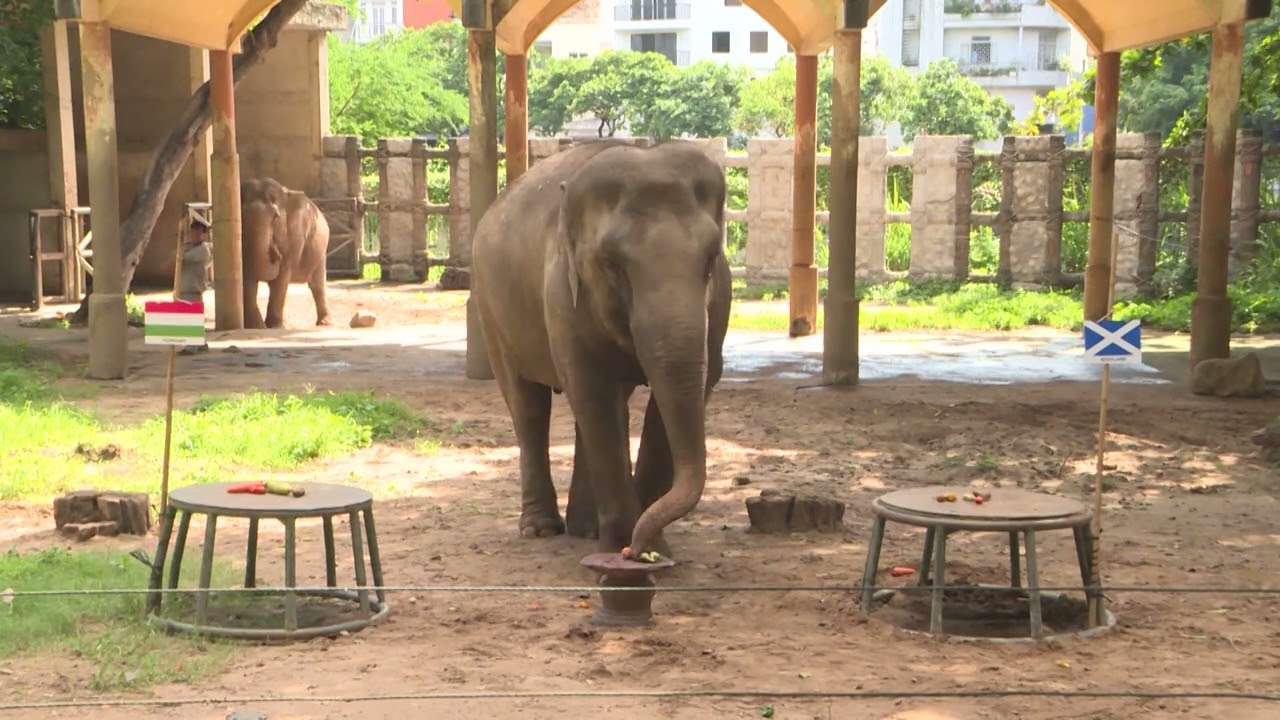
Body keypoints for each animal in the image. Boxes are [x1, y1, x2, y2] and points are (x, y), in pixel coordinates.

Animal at [239, 176, 330, 327]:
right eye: (240, 219)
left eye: (276, 217)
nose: (275, 254)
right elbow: (248, 277)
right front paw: (257, 327)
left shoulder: (294, 238)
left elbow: (282, 275)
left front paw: (274, 326)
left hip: (320, 252)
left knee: (317, 285)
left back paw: (324, 323)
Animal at [471, 137, 732, 558]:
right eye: (613, 264)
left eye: (711, 259)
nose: (637, 547)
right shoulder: (562, 295)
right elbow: (592, 388)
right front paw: (626, 547)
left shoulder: (720, 301)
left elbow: (663, 400)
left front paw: (648, 547)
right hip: (489, 309)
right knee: (529, 406)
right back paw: (540, 530)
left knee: (596, 411)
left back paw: (586, 529)